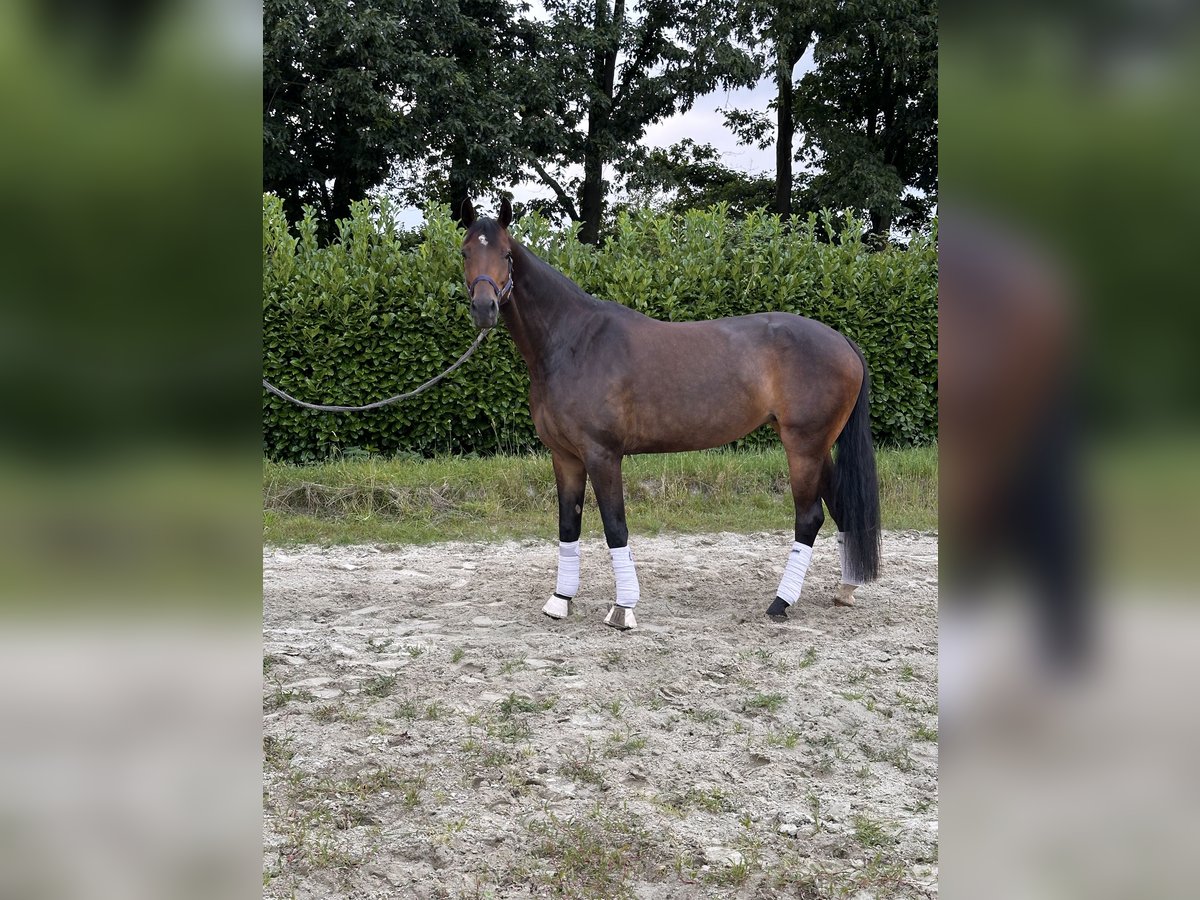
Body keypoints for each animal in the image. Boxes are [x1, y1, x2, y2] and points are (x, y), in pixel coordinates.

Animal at [458, 199, 883, 633]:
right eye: (465, 252)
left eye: (507, 256)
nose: (484, 308)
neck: (573, 342)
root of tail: (843, 341)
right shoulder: (565, 457)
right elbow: (568, 525)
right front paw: (560, 600)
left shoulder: (602, 455)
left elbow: (615, 527)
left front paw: (623, 609)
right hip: (817, 447)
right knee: (840, 507)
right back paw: (845, 589)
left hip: (803, 446)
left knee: (809, 517)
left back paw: (780, 602)